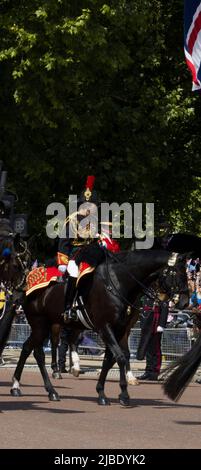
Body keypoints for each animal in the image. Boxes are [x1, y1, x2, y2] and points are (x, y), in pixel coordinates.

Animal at [3, 250, 190, 408]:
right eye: (177, 273)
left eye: (186, 273)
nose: (184, 302)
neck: (118, 282)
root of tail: (26, 283)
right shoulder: (105, 327)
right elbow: (120, 357)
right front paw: (123, 395)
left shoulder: (119, 329)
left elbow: (110, 359)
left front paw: (102, 392)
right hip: (40, 324)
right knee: (34, 351)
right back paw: (24, 386)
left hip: (46, 325)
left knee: (33, 350)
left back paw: (43, 389)